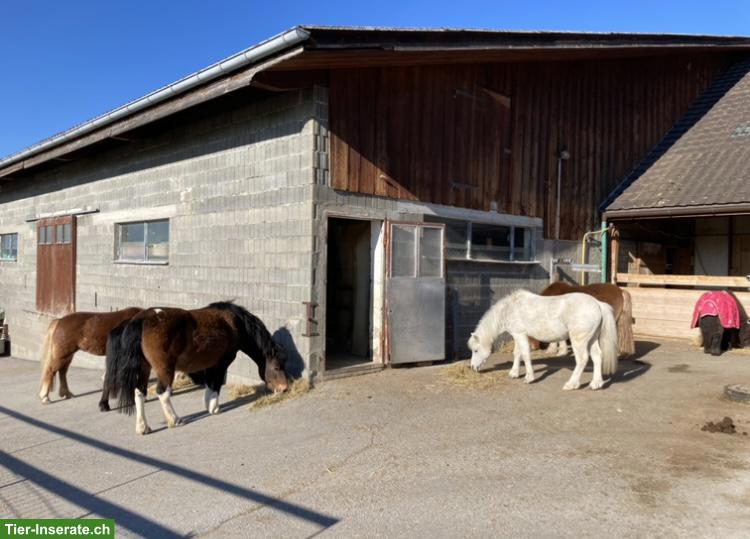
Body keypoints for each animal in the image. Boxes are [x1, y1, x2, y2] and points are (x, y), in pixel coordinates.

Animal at [102, 301, 288, 435]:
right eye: (277, 367)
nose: (284, 388)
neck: (234, 323)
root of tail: (142, 319)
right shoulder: (222, 362)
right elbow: (215, 383)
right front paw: (214, 407)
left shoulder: (212, 363)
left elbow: (210, 383)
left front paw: (208, 404)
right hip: (164, 369)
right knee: (162, 392)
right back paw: (175, 420)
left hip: (144, 368)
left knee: (139, 392)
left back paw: (143, 427)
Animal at [468, 289, 618, 390]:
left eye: (476, 350)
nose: (472, 367)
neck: (511, 308)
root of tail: (598, 304)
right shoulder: (517, 335)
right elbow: (517, 354)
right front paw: (514, 373)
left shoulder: (520, 334)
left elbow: (525, 355)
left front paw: (529, 378)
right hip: (592, 339)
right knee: (597, 357)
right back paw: (596, 384)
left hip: (579, 341)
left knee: (582, 360)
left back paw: (571, 384)